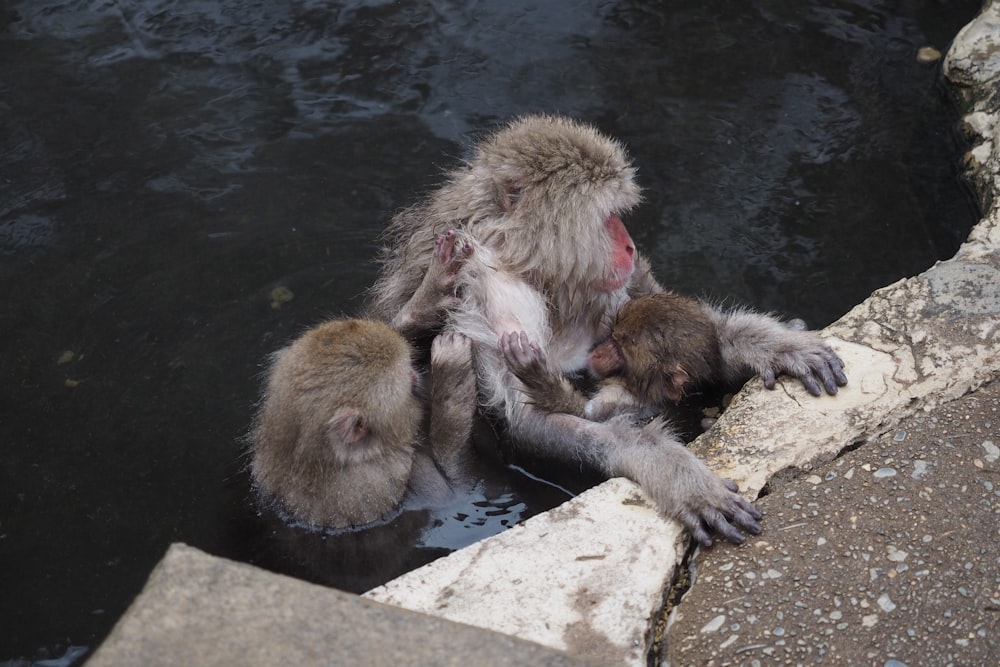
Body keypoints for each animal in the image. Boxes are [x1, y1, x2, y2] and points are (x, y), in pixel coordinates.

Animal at [250, 232, 476, 528]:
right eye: (410, 382)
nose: (418, 374)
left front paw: (429, 295)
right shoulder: (406, 478)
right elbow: (457, 490)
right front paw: (452, 373)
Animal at [368, 115, 844, 548]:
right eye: (607, 217)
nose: (630, 246)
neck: (537, 269)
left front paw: (777, 345)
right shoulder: (489, 288)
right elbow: (529, 423)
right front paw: (666, 466)